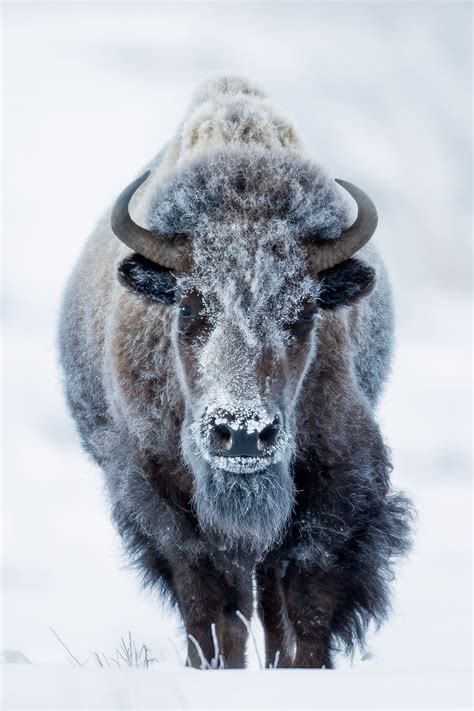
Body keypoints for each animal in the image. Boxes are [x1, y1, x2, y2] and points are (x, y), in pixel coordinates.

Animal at [59, 75, 412, 672]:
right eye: (188, 306)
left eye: (305, 312)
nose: (243, 434)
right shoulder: (166, 503)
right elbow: (210, 610)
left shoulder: (335, 488)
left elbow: (306, 605)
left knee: (268, 599)